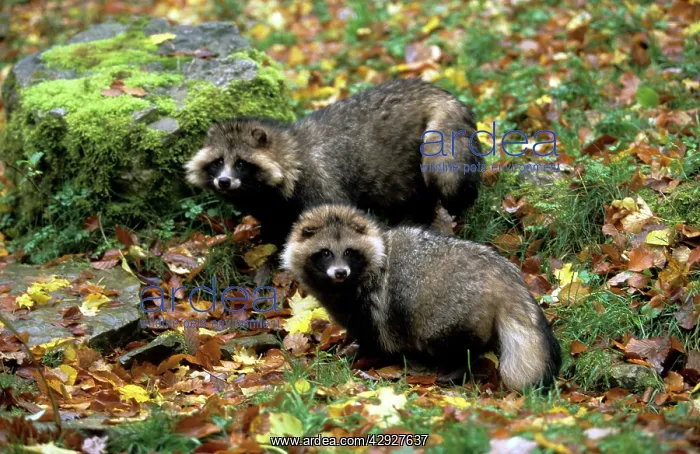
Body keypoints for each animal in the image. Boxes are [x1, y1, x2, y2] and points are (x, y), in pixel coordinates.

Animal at [184, 78, 484, 248]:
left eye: (241, 163)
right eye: (218, 161)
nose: (224, 181)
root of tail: (440, 94)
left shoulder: (318, 185)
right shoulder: (272, 207)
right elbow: (276, 226)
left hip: (425, 146)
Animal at [282, 204, 561, 391]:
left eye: (349, 252)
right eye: (325, 253)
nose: (340, 272)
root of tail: (502, 271)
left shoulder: (373, 303)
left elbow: (374, 335)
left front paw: (363, 354)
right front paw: (347, 344)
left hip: (452, 307)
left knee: (459, 342)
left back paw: (459, 366)